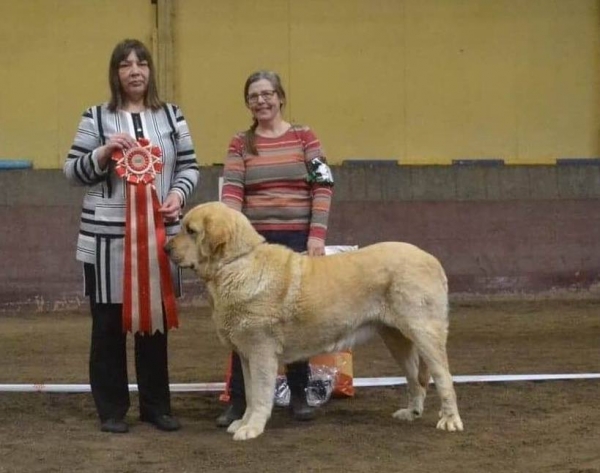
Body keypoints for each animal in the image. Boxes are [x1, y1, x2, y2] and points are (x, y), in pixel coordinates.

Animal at [168, 202, 464, 438]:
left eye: (190, 230)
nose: (165, 247)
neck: (236, 264)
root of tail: (432, 259)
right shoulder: (246, 354)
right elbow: (251, 393)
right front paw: (242, 422)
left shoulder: (261, 351)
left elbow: (260, 393)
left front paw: (251, 428)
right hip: (396, 339)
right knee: (415, 378)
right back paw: (411, 412)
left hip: (424, 333)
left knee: (443, 377)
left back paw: (450, 420)